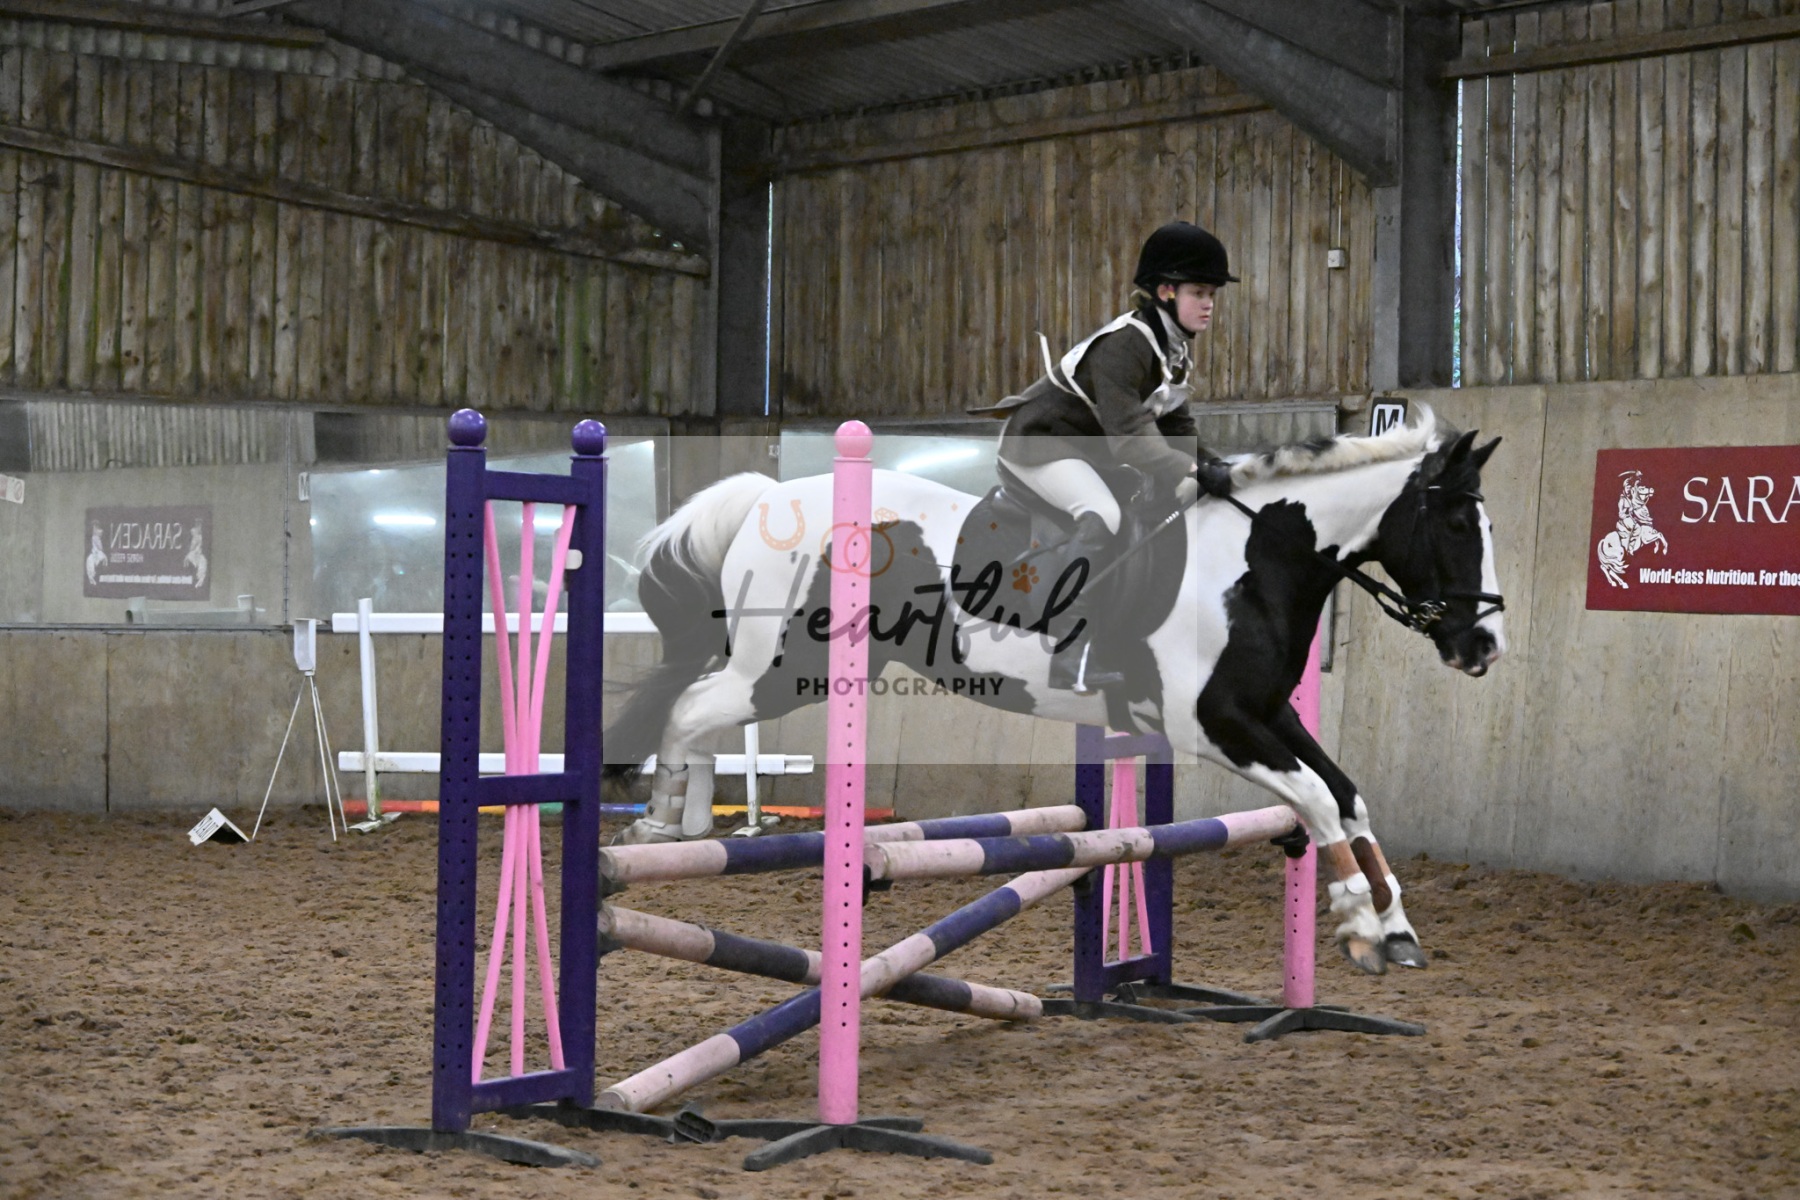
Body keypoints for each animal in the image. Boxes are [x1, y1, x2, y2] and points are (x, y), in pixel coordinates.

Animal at [601, 408, 1505, 975]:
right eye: (1460, 524)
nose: (1484, 645)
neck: (1253, 560)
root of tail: (767, 494)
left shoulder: (1264, 712)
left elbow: (1347, 796)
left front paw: (1396, 927)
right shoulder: (1213, 724)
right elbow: (1316, 801)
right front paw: (1357, 923)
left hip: (784, 670)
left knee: (695, 705)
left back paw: (692, 826)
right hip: (786, 668)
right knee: (691, 707)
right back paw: (661, 826)